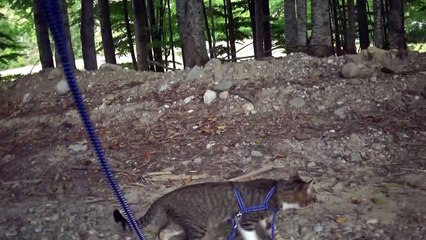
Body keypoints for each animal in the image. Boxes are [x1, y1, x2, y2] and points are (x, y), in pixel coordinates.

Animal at [113, 171, 316, 240]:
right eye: (314, 196)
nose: (317, 200)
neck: (274, 191)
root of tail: (166, 196)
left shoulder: (261, 219)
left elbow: (269, 228)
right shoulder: (245, 221)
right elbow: (252, 236)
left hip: (183, 222)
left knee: (162, 231)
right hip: (197, 226)